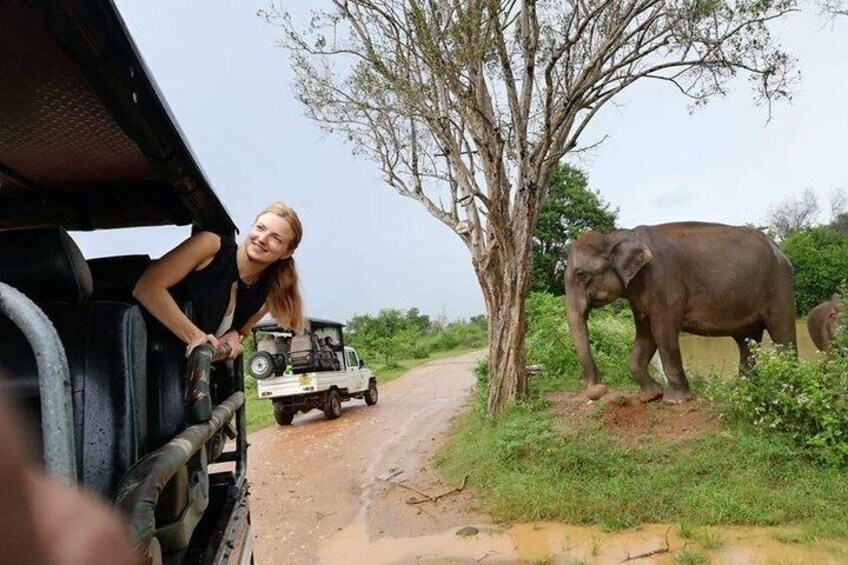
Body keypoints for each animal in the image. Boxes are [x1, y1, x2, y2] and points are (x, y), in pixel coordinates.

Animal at [568, 220, 800, 400]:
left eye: (581, 275)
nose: (597, 389)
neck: (615, 236)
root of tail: (780, 250)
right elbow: (645, 336)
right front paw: (651, 395)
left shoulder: (664, 283)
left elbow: (662, 332)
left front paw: (675, 400)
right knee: (747, 342)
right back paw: (741, 389)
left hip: (779, 286)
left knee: (782, 334)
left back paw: (787, 391)